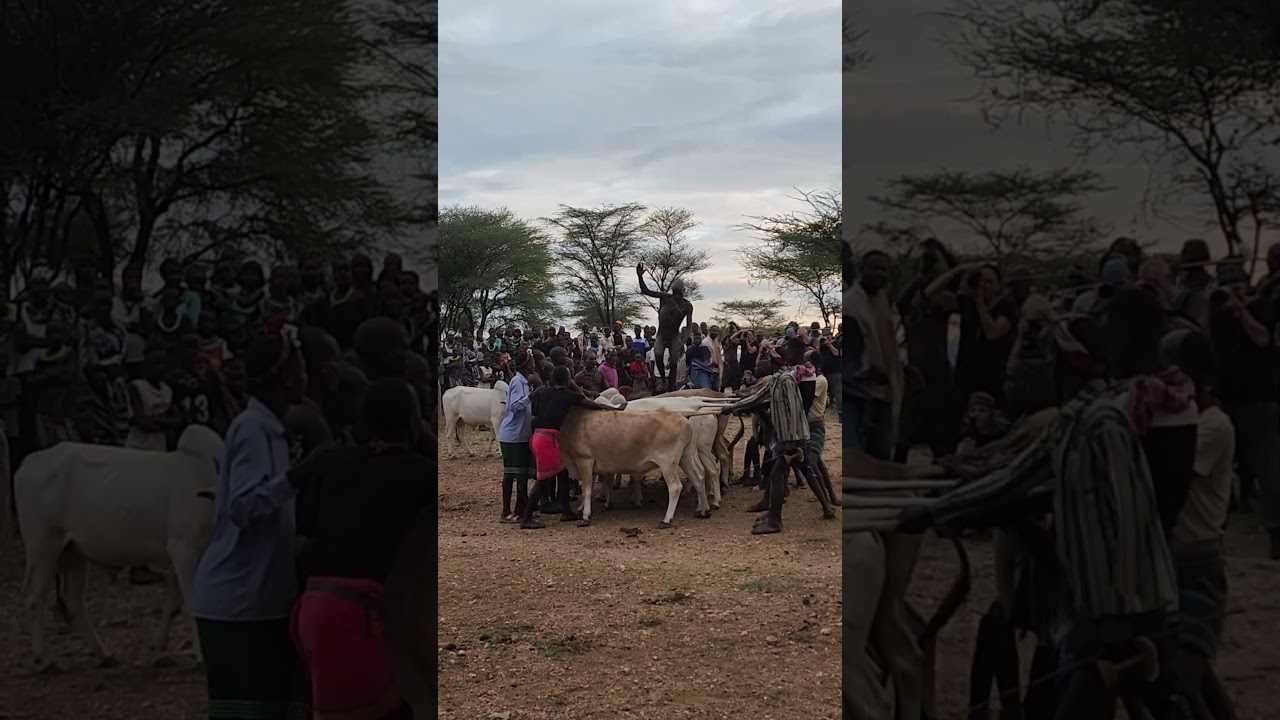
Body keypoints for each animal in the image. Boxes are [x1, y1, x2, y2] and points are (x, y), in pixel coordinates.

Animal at [15, 425, 225, 672]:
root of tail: (29, 462)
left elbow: (172, 605)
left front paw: (158, 652)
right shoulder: (184, 550)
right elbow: (191, 605)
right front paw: (201, 657)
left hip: (74, 553)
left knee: (74, 602)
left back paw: (104, 655)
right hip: (43, 547)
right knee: (33, 598)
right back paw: (45, 659)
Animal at [559, 405, 709, 528]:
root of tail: (683, 418)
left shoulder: (585, 461)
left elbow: (587, 490)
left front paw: (585, 517)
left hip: (667, 462)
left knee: (675, 487)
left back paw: (666, 520)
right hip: (686, 456)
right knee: (698, 477)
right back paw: (703, 510)